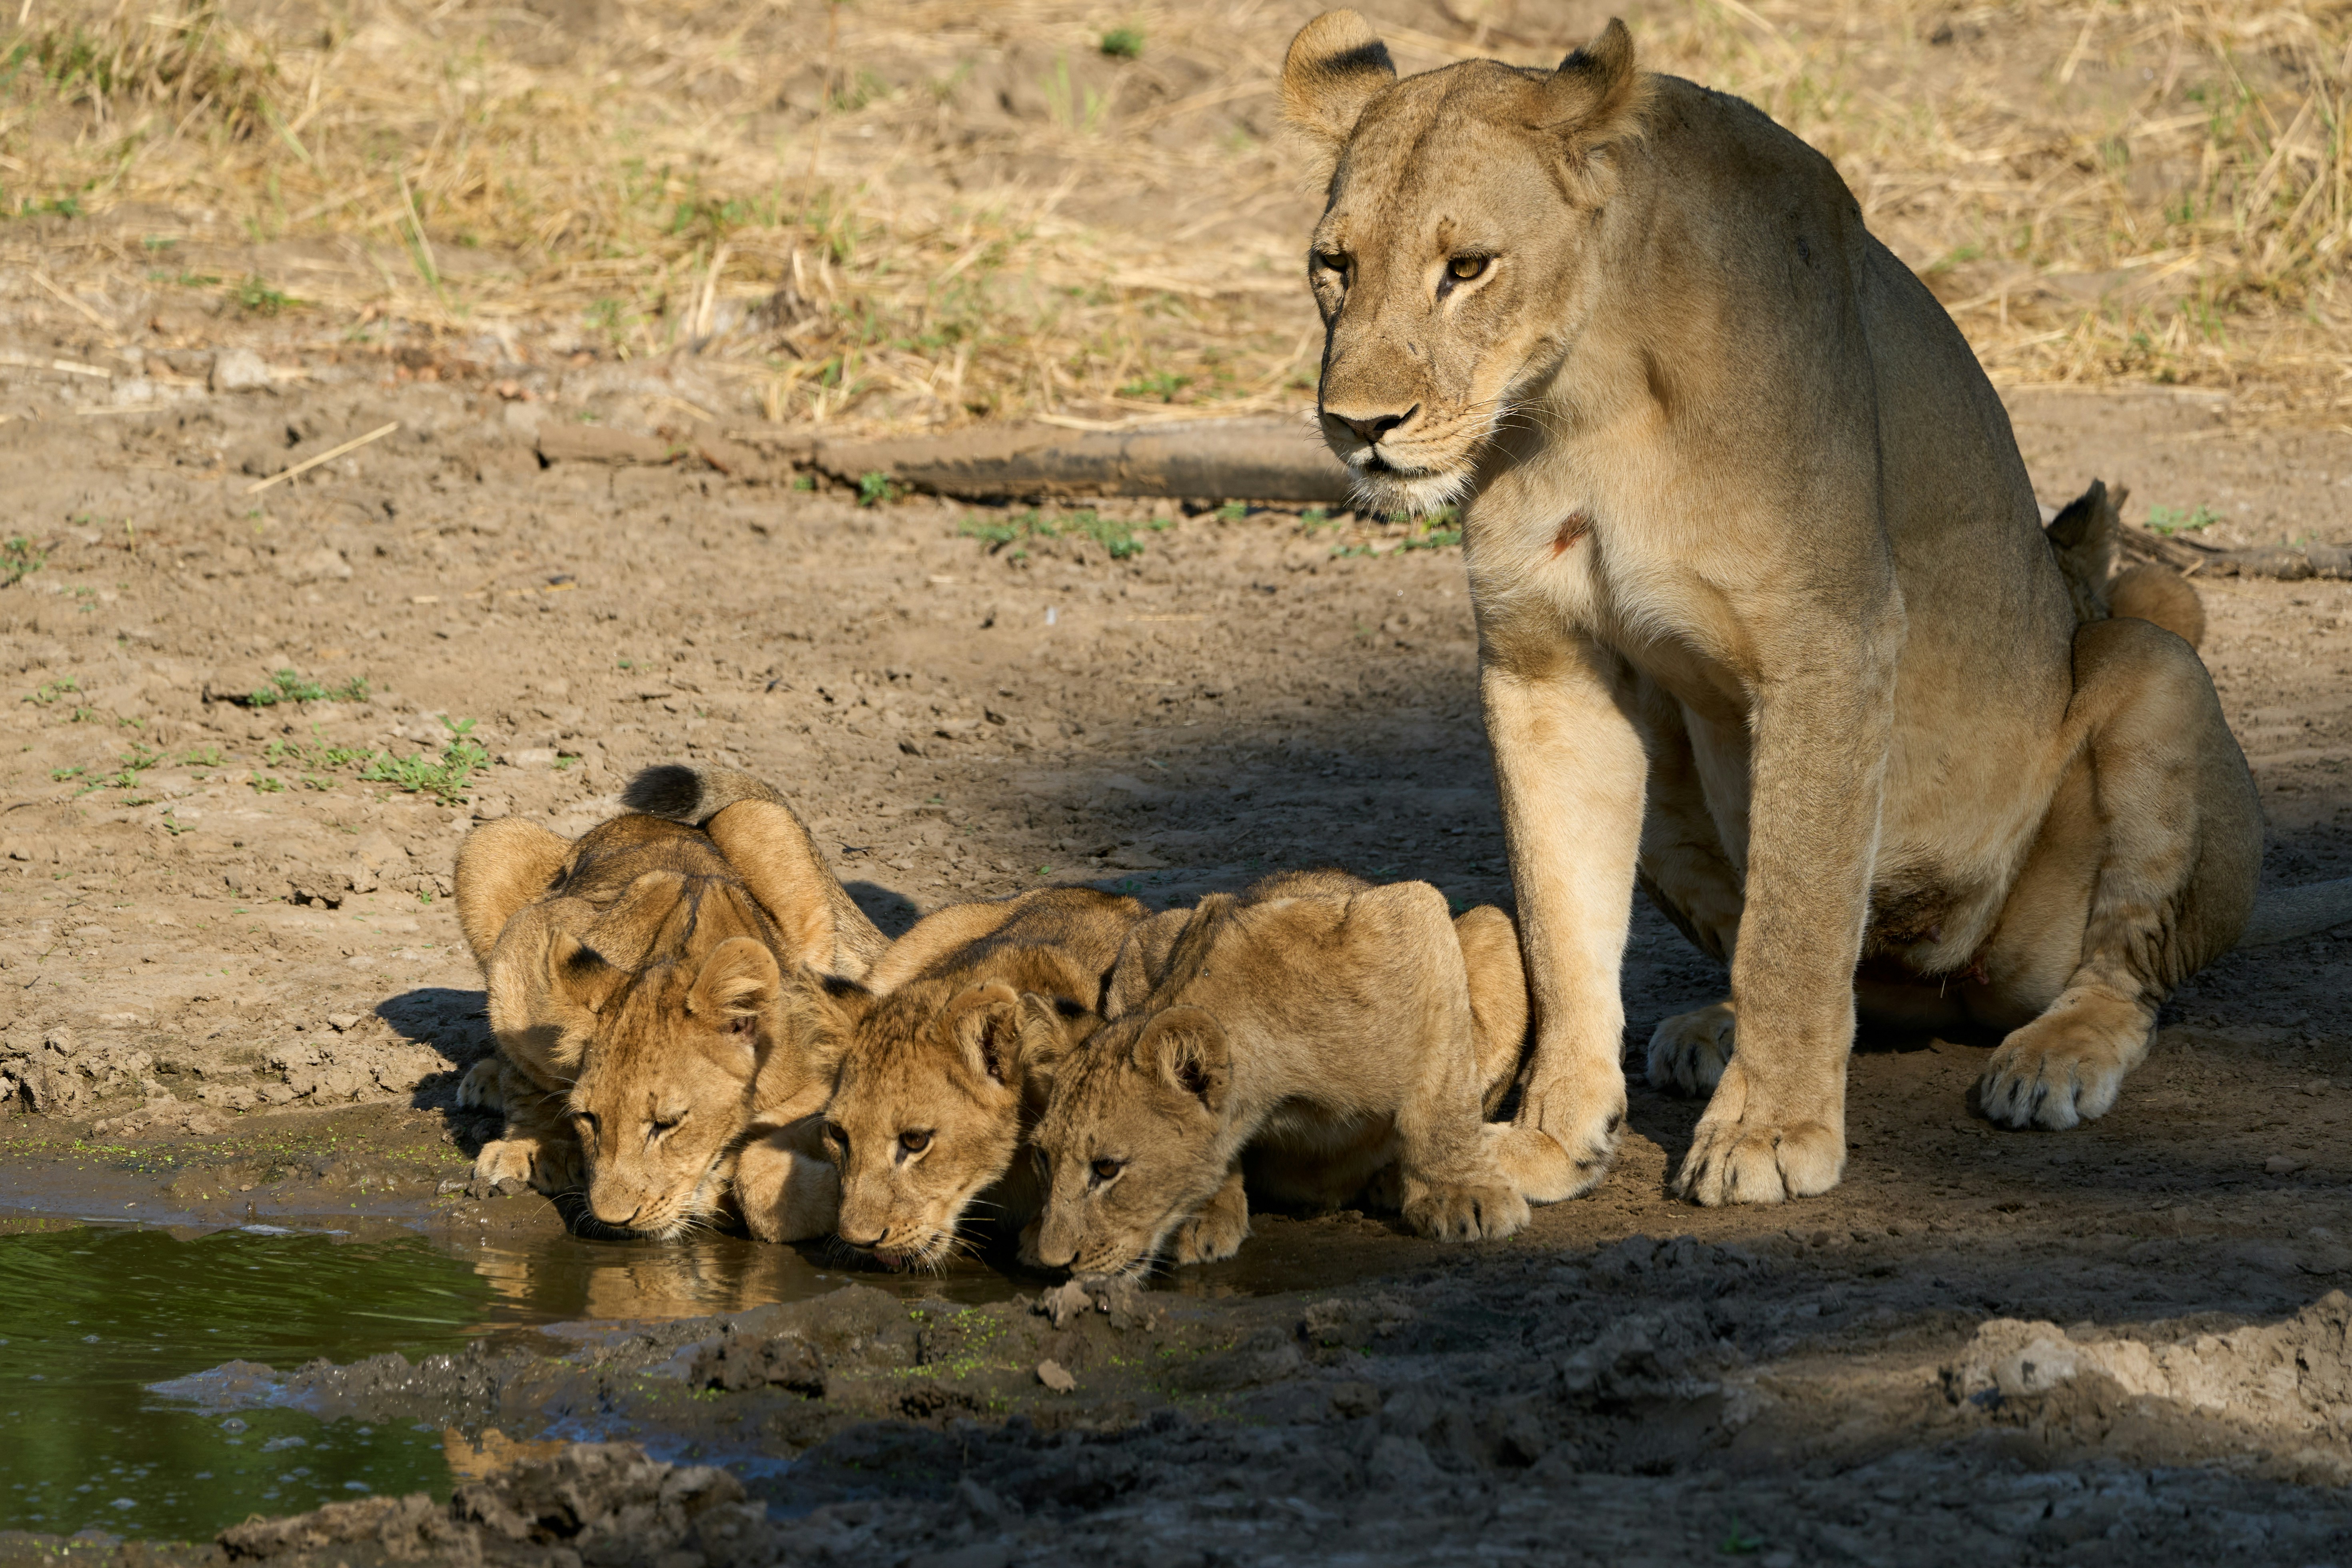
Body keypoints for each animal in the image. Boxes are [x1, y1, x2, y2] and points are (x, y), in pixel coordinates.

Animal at [452, 766, 881, 1236]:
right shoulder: (524, 945)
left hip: (765, 821)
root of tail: (641, 821)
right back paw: (486, 1080)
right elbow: (527, 1077)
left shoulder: (822, 1073)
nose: (614, 1220)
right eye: (589, 1118)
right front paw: (531, 1146)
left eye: (668, 1125)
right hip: (492, 840)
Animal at [1028, 874, 1542, 1278]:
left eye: (1106, 1168)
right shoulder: (1144, 948)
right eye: (1043, 1159)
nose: (1054, 1262)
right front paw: (1205, 1212)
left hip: (1490, 925)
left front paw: (1462, 1195)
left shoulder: (1407, 915)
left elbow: (1444, 1090)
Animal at [1277, 13, 2352, 1207]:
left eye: (1466, 267)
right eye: (1333, 266)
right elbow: (1561, 924)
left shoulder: (1829, 640)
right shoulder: (1542, 662)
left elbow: (1794, 914)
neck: (1586, 398)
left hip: (2152, 668)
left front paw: (1768, 1132)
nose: (1358, 426)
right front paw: (1553, 1135)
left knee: (2124, 968)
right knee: (1850, 977)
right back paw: (1712, 1030)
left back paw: (2051, 1060)